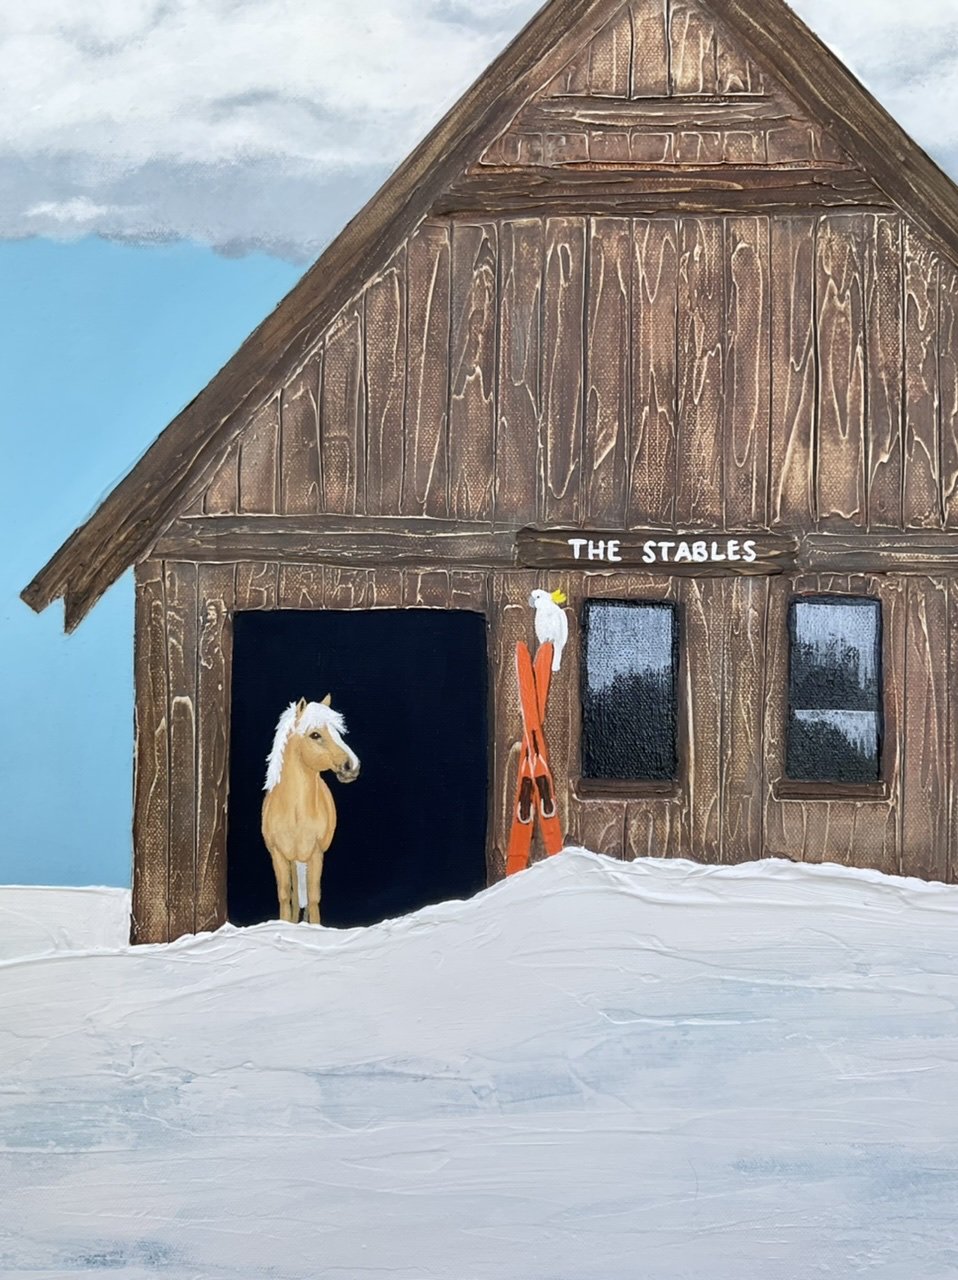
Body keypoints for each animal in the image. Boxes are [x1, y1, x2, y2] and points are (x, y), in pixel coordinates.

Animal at [261, 695, 361, 924]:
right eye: (315, 735)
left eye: (337, 732)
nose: (352, 765)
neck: (295, 812)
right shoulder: (279, 854)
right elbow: (285, 896)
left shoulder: (315, 853)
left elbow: (314, 898)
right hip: (293, 859)